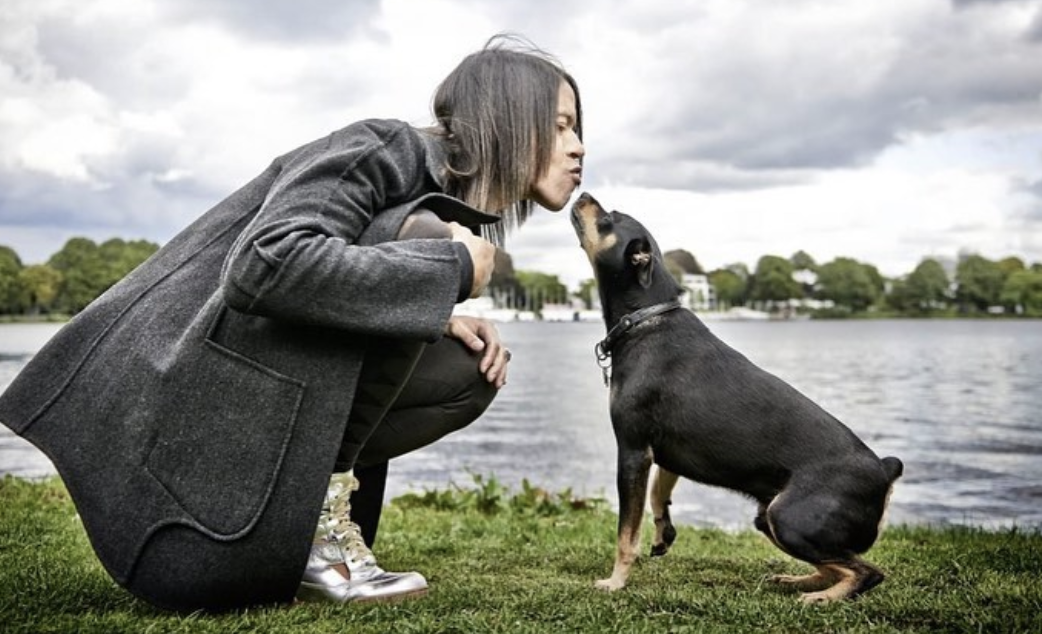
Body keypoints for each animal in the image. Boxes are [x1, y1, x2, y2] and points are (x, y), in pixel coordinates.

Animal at [571, 192, 904, 604]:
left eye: (609, 219)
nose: (583, 194)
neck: (646, 317)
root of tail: (885, 471)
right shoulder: (664, 454)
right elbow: (658, 494)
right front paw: (663, 535)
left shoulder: (633, 451)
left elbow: (626, 533)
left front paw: (616, 581)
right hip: (770, 518)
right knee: (835, 565)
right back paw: (797, 581)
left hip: (789, 518)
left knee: (866, 571)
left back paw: (821, 597)